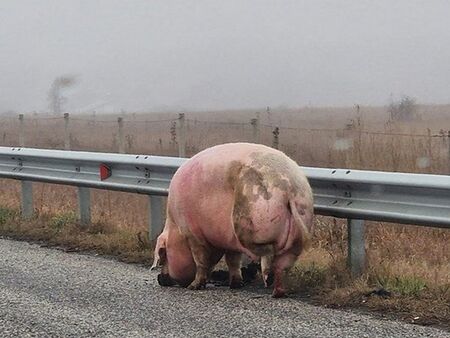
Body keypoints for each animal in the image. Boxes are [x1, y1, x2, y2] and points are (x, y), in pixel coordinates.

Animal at [153, 143, 314, 298]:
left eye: (164, 255)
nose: (160, 279)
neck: (175, 228)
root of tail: (289, 187)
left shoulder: (192, 233)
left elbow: (201, 261)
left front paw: (194, 287)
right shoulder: (230, 240)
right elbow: (233, 260)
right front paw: (236, 285)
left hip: (250, 221)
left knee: (266, 251)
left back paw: (267, 277)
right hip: (297, 235)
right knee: (283, 266)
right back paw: (276, 293)